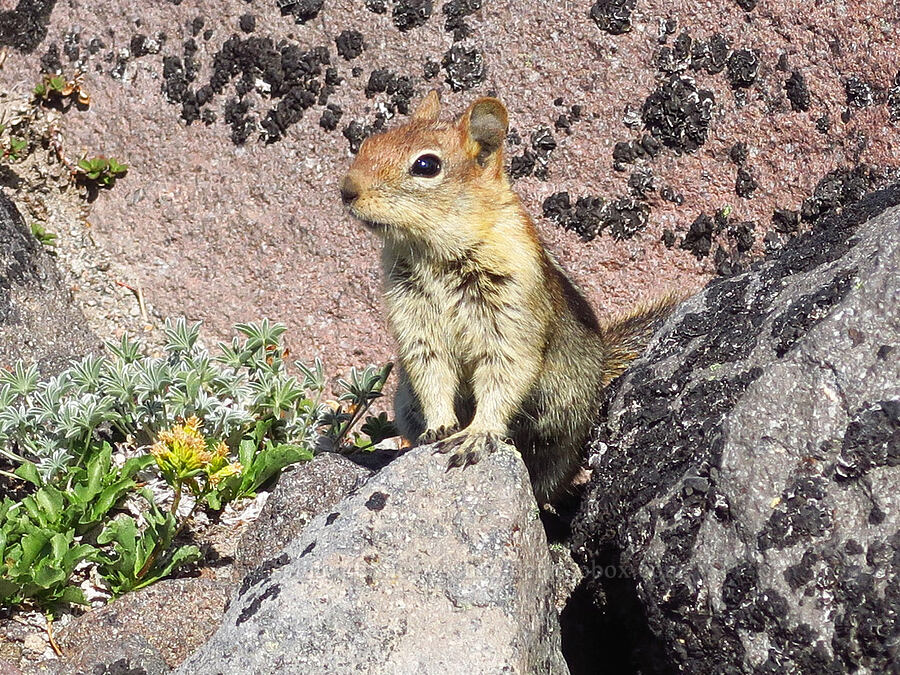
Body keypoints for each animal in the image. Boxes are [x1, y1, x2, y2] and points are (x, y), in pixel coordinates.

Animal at [342, 91, 680, 502]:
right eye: (367, 145)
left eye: (426, 165)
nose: (347, 190)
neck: (434, 254)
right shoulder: (416, 322)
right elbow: (432, 372)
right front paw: (440, 427)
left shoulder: (508, 314)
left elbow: (503, 374)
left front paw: (476, 435)